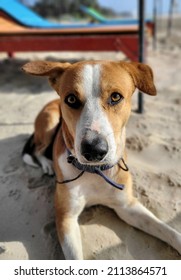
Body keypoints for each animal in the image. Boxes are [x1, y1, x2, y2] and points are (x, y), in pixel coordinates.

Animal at [21, 60, 181, 260]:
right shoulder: (65, 217)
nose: (94, 150)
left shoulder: (127, 206)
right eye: (71, 99)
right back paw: (47, 164)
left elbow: (166, 230)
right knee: (37, 149)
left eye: (116, 97)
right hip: (50, 121)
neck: (95, 172)